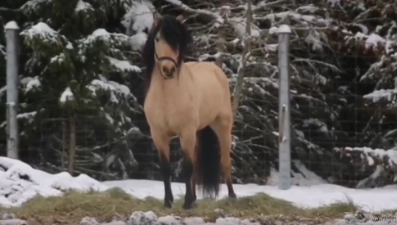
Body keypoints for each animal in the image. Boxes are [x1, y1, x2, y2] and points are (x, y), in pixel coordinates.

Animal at [142, 12, 235, 209]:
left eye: (178, 40)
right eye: (157, 38)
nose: (168, 69)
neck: (167, 96)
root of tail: (215, 69)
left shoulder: (186, 132)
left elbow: (186, 167)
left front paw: (185, 203)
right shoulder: (159, 135)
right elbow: (166, 168)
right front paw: (168, 202)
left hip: (222, 128)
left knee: (224, 161)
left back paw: (232, 196)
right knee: (195, 166)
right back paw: (194, 199)